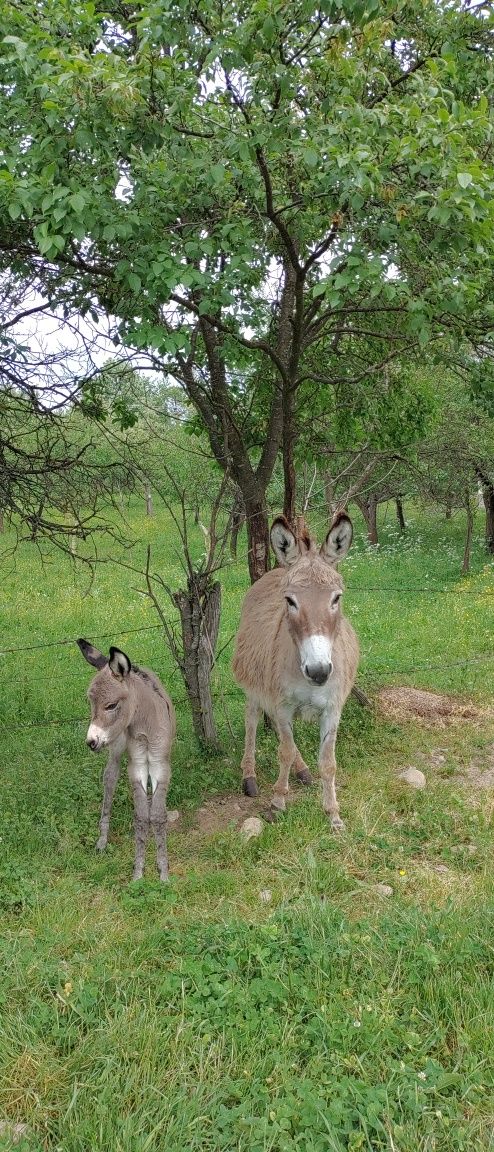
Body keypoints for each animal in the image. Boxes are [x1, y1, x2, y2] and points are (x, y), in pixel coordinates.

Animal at [77, 640, 176, 880]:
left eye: (111, 705)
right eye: (90, 703)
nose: (91, 742)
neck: (144, 726)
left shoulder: (160, 765)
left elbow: (157, 814)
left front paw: (163, 873)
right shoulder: (137, 765)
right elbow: (141, 815)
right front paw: (138, 873)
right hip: (117, 745)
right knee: (110, 778)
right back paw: (102, 840)